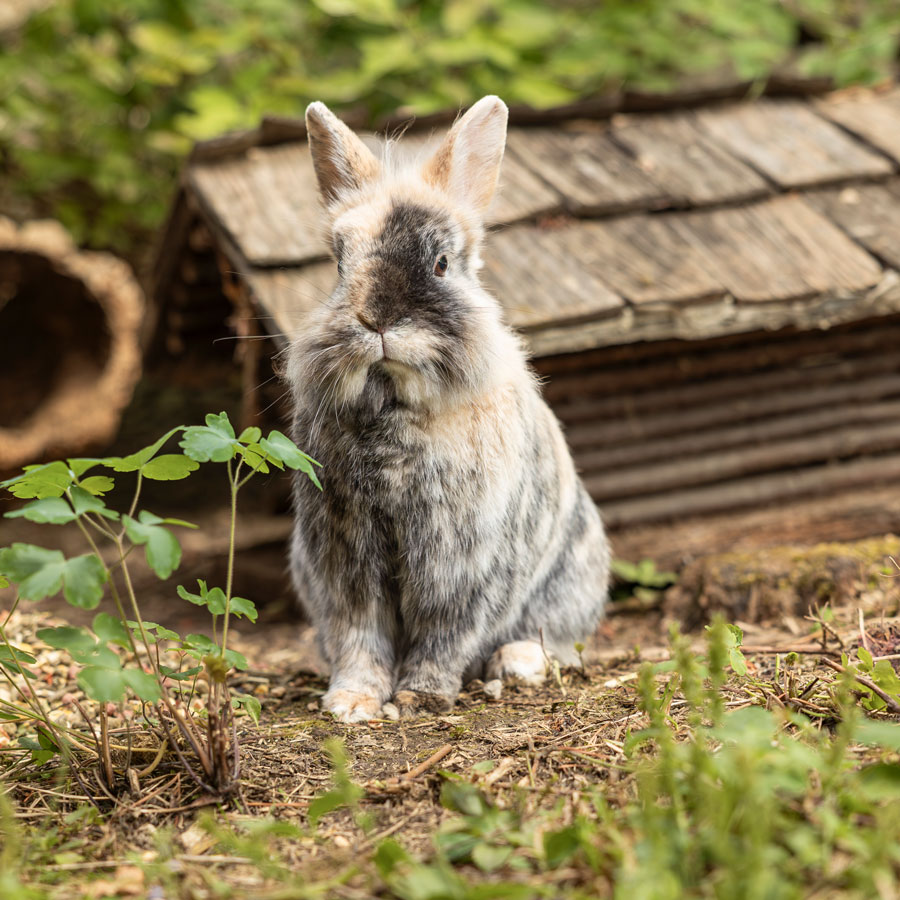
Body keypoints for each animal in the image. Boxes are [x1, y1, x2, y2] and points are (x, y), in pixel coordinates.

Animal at [287, 95, 610, 723]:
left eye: (440, 263)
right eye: (339, 263)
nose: (377, 319)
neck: (395, 405)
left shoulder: (460, 562)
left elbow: (445, 632)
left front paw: (420, 696)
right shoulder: (345, 558)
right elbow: (359, 634)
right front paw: (351, 703)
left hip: (569, 586)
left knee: (554, 642)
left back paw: (515, 664)